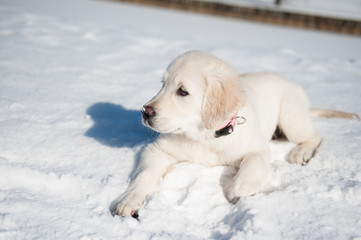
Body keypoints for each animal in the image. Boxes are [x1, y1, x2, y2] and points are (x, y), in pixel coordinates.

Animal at [111, 50, 358, 218]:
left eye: (182, 91)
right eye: (162, 84)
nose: (145, 112)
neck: (207, 137)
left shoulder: (258, 148)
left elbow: (253, 162)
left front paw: (239, 188)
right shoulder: (158, 149)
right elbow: (145, 174)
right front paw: (129, 200)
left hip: (291, 116)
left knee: (314, 135)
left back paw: (301, 153)